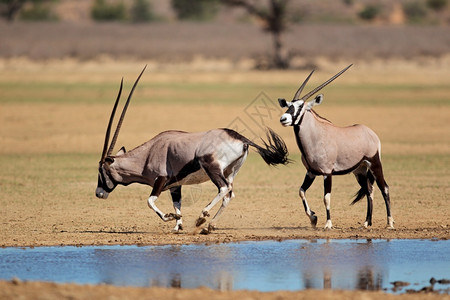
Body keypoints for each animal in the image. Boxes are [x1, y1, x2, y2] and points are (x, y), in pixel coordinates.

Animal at [96, 67, 290, 233]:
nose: (99, 193)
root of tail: (240, 138)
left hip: (212, 168)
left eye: (101, 171)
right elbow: (177, 205)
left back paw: (202, 217)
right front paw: (177, 226)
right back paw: (209, 226)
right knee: (229, 194)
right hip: (230, 171)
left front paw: (170, 218)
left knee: (223, 188)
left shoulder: (161, 179)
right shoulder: (175, 186)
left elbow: (150, 201)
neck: (147, 155)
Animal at [278, 65, 394, 230]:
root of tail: (370, 133)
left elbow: (326, 198)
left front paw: (328, 223)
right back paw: (366, 222)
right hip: (360, 171)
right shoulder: (311, 172)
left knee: (384, 188)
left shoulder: (327, 173)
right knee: (369, 191)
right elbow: (301, 191)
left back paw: (389, 222)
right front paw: (313, 218)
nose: (284, 119)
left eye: (300, 107)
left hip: (374, 164)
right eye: (289, 106)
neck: (316, 136)